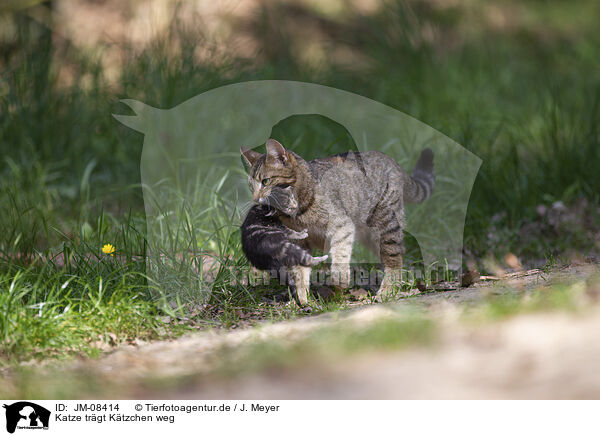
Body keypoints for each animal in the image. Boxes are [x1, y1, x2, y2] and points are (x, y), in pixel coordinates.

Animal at [241, 139, 434, 304]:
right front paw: (302, 298)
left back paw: (387, 290)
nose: (255, 198)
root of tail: (390, 160)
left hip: (385, 225)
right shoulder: (300, 242)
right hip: (372, 236)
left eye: (266, 181)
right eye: (251, 186)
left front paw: (339, 281)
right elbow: (299, 270)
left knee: (395, 257)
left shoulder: (342, 226)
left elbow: (340, 257)